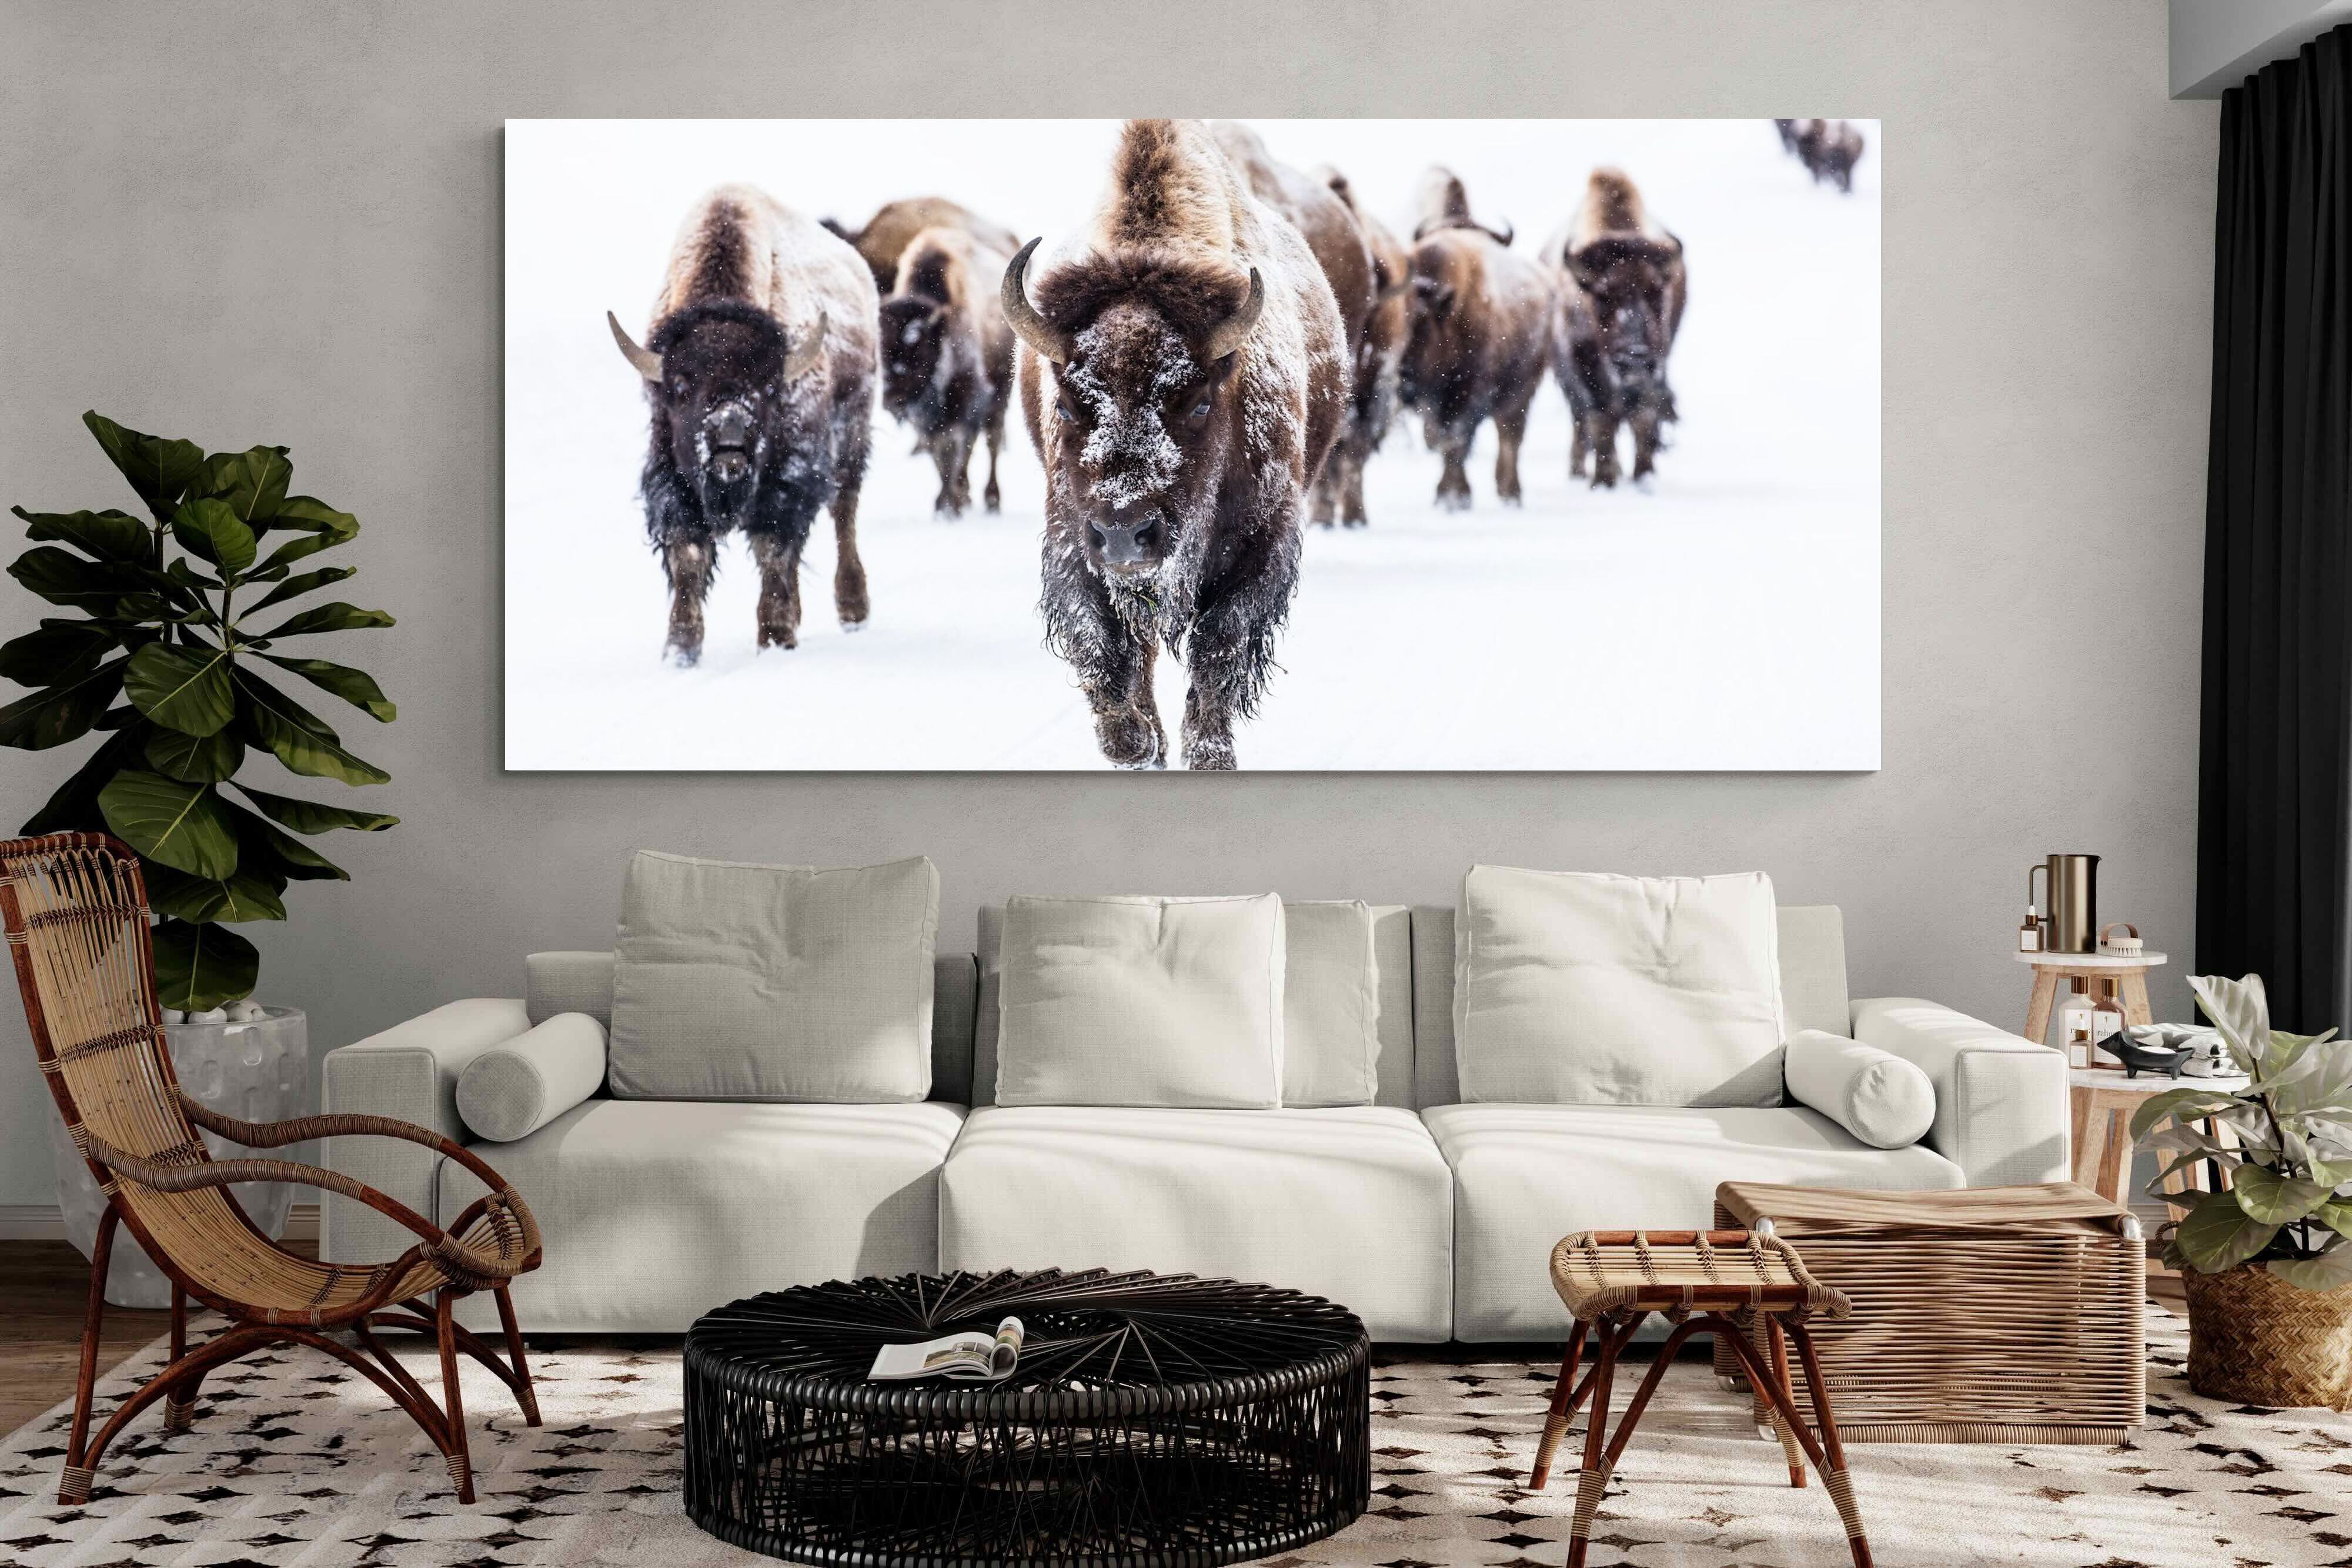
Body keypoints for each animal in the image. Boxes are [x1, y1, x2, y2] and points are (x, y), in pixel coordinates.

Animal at [607, 184, 877, 664]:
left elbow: (773, 550)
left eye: (769, 386)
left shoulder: (788, 481)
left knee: (844, 513)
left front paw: (775, 637)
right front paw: (680, 649)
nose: (729, 443)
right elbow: (688, 554)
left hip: (853, 437)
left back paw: (853, 611)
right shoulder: (672, 479)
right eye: (680, 386)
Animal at [878, 225, 1015, 516]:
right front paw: (947, 503)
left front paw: (948, 505)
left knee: (992, 440)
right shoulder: (925, 418)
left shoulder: (964, 402)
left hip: (1000, 393)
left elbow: (952, 450)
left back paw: (992, 500)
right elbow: (937, 453)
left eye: (916, 350)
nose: (891, 400)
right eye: (879, 350)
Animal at [1004, 118, 1348, 770]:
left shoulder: (1263, 546)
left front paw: (1210, 754)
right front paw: (1134, 743)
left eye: (1199, 403)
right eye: (1066, 404)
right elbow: (1103, 647)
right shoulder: (1072, 542)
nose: (1124, 533)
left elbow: (1219, 647)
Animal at [1398, 168, 1552, 510]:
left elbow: (1456, 441)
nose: (1400, 378)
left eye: (1420, 324)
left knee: (1510, 436)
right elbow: (1446, 439)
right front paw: (1448, 495)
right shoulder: (1436, 402)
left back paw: (1511, 493)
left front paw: (1454, 497)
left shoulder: (1468, 394)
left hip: (1522, 390)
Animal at [1543, 167, 1687, 488]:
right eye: (1603, 295)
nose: (1634, 357)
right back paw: (1580, 472)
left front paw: (1644, 476)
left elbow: (1643, 419)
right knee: (1582, 422)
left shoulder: (1656, 368)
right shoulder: (1584, 371)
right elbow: (1601, 422)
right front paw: (1604, 480)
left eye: (1656, 291)